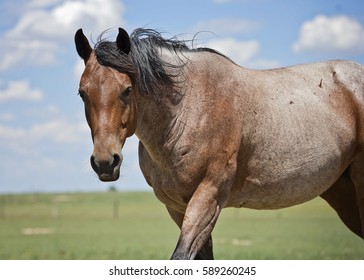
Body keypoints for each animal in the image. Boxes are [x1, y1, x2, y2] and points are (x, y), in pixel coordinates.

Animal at [74, 27, 364, 260]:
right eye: (82, 93)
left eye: (126, 90)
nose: (104, 162)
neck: (188, 110)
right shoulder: (177, 206)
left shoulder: (209, 195)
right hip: (342, 194)